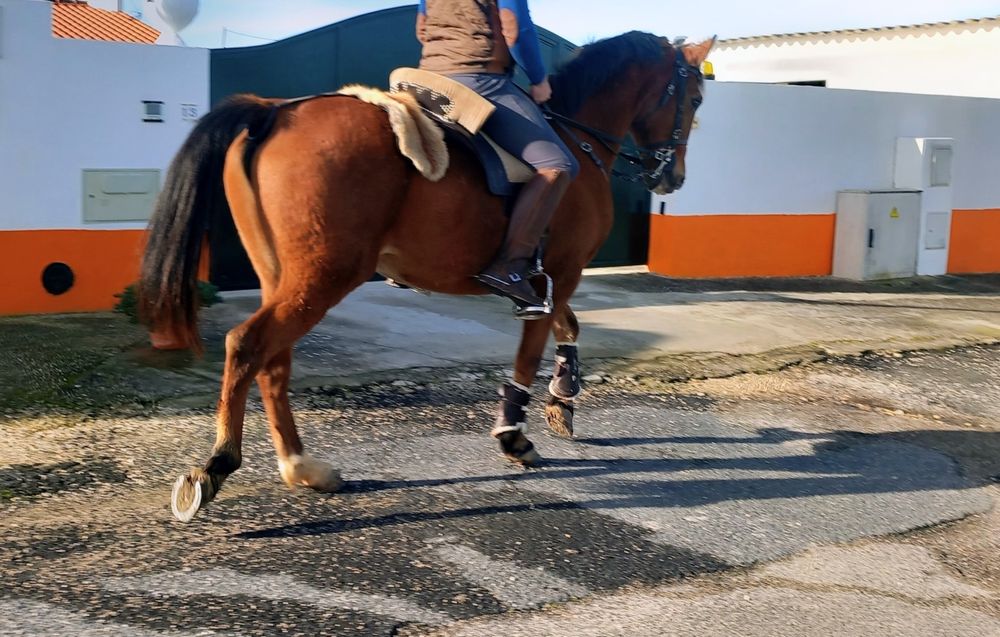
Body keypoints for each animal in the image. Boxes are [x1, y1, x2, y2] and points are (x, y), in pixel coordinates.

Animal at [140, 31, 714, 522]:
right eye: (696, 99)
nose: (673, 176)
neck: (577, 136)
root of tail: (274, 111)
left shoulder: (548, 278)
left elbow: (566, 326)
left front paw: (563, 397)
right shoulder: (561, 270)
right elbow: (534, 348)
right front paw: (516, 434)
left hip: (285, 276)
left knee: (271, 361)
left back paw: (302, 468)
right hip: (324, 275)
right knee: (248, 344)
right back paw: (218, 465)